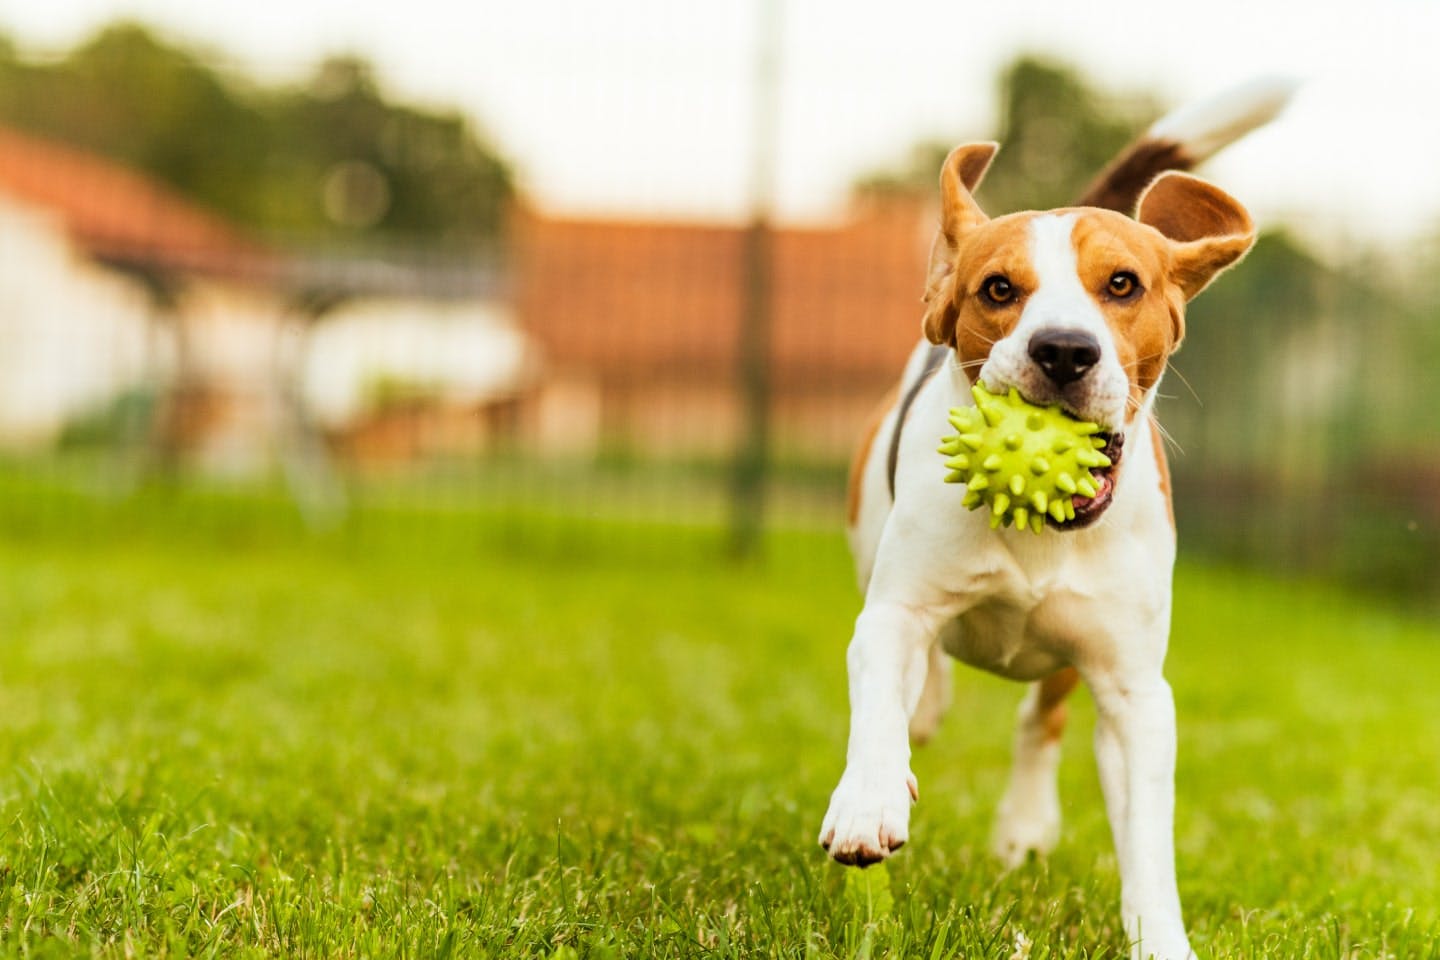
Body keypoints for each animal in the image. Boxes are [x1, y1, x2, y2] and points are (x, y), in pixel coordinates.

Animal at [817, 80, 1301, 960]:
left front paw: (1160, 939)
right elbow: (880, 688)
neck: (1039, 531)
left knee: (1038, 718)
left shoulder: (1135, 691)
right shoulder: (893, 612)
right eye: (999, 290)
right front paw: (869, 801)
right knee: (925, 680)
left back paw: (1023, 824)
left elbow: (1146, 837)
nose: (1067, 350)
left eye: (1123, 284)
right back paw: (923, 720)